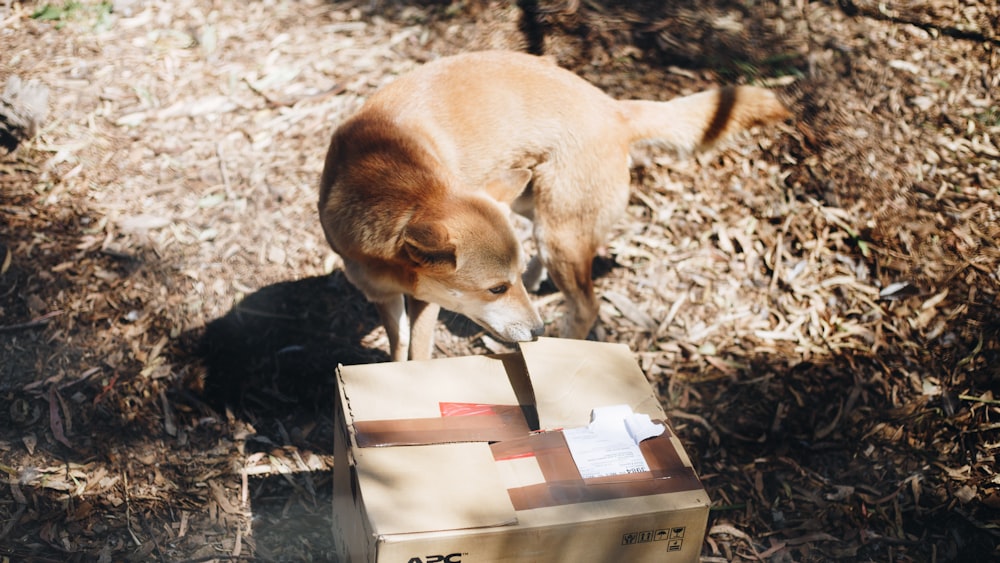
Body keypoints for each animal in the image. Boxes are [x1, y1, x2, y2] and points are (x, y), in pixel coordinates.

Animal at [320, 49, 788, 362]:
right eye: (497, 288)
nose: (538, 329)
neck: (384, 174)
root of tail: (613, 108)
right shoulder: (382, 295)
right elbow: (397, 344)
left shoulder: (425, 304)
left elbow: (416, 353)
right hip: (531, 204)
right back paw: (536, 278)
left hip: (559, 231)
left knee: (586, 306)